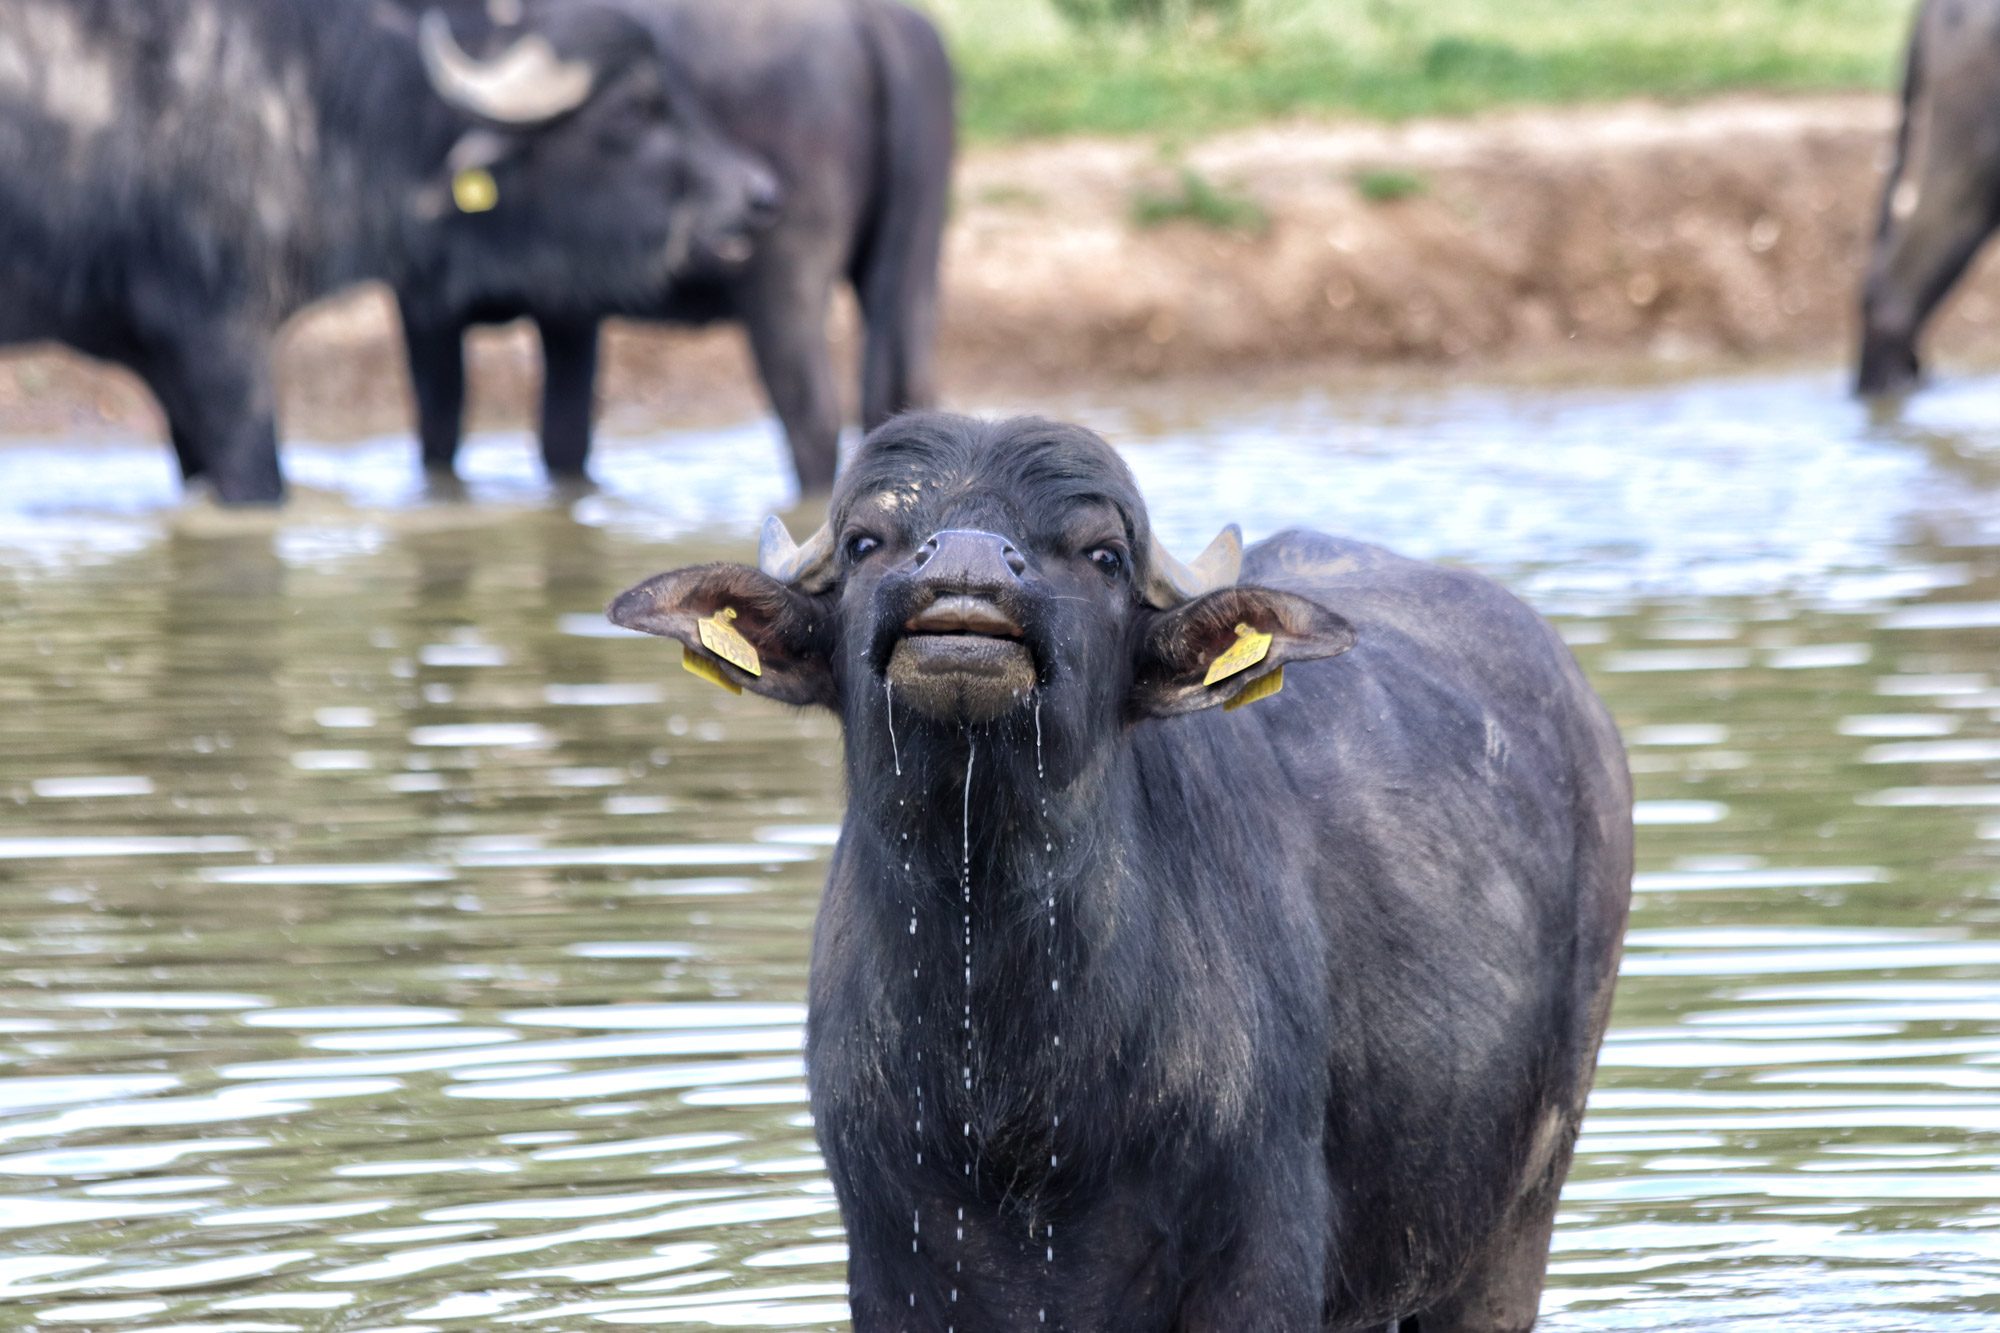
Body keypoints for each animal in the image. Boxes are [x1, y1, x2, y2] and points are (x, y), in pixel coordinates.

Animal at [402, 0, 956, 492]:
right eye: (633, 110)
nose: (756, 195)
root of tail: (872, 16)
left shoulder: (425, 304)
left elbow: (441, 434)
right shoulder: (565, 309)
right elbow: (562, 438)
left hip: (786, 284)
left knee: (811, 418)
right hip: (912, 265)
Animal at [612, 410, 1640, 1320]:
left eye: (1102, 555)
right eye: (868, 542)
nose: (964, 564)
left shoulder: (1262, 1260)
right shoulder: (891, 1259)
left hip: (1517, 1219)